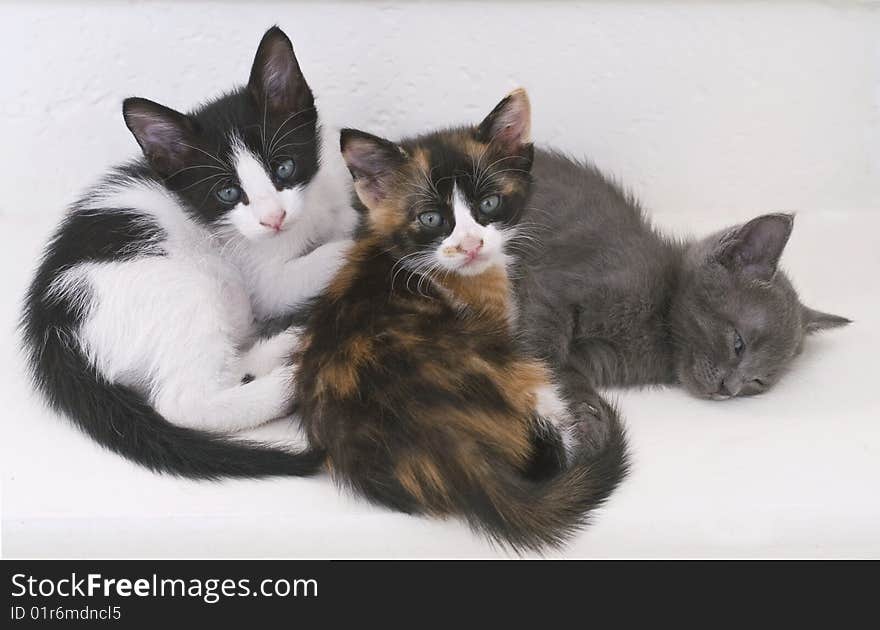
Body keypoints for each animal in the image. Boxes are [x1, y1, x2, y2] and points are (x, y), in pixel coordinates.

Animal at [19, 25, 354, 478]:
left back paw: (285, 344)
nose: (273, 217)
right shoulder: (263, 274)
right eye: (227, 192)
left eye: (284, 167)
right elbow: (321, 261)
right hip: (180, 288)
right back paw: (285, 385)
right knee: (182, 402)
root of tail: (51, 330)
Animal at [512, 151, 848, 402]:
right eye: (738, 344)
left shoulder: (599, 360)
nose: (729, 390)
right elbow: (544, 345)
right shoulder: (557, 286)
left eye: (758, 381)